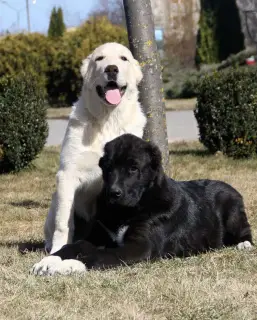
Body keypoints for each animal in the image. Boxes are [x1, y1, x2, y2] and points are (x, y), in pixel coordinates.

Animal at [31, 42, 145, 276]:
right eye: (99, 59)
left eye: (124, 58)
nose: (111, 69)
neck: (108, 119)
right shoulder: (67, 175)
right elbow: (64, 223)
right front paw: (57, 252)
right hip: (55, 200)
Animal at [50, 134, 252, 272]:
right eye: (108, 168)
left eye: (133, 168)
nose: (113, 193)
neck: (126, 211)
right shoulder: (97, 235)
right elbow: (77, 243)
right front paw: (52, 259)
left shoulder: (141, 246)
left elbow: (103, 254)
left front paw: (73, 264)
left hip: (233, 212)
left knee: (246, 231)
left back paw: (244, 245)